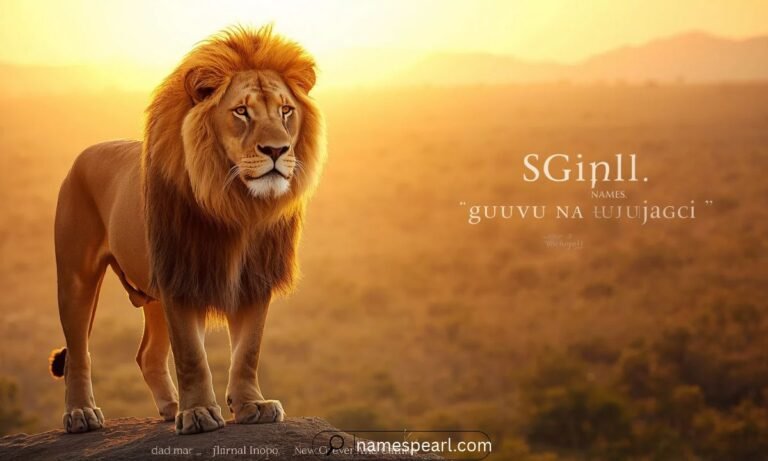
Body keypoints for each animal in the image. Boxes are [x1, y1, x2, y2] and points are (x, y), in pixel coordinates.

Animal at [48, 25, 325, 435]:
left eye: (285, 110)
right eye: (241, 111)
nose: (277, 150)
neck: (237, 203)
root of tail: (83, 155)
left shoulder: (254, 278)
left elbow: (248, 350)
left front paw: (251, 405)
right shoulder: (182, 273)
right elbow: (192, 355)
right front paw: (198, 414)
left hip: (152, 295)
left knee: (147, 354)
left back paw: (170, 407)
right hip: (76, 277)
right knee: (79, 351)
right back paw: (81, 414)